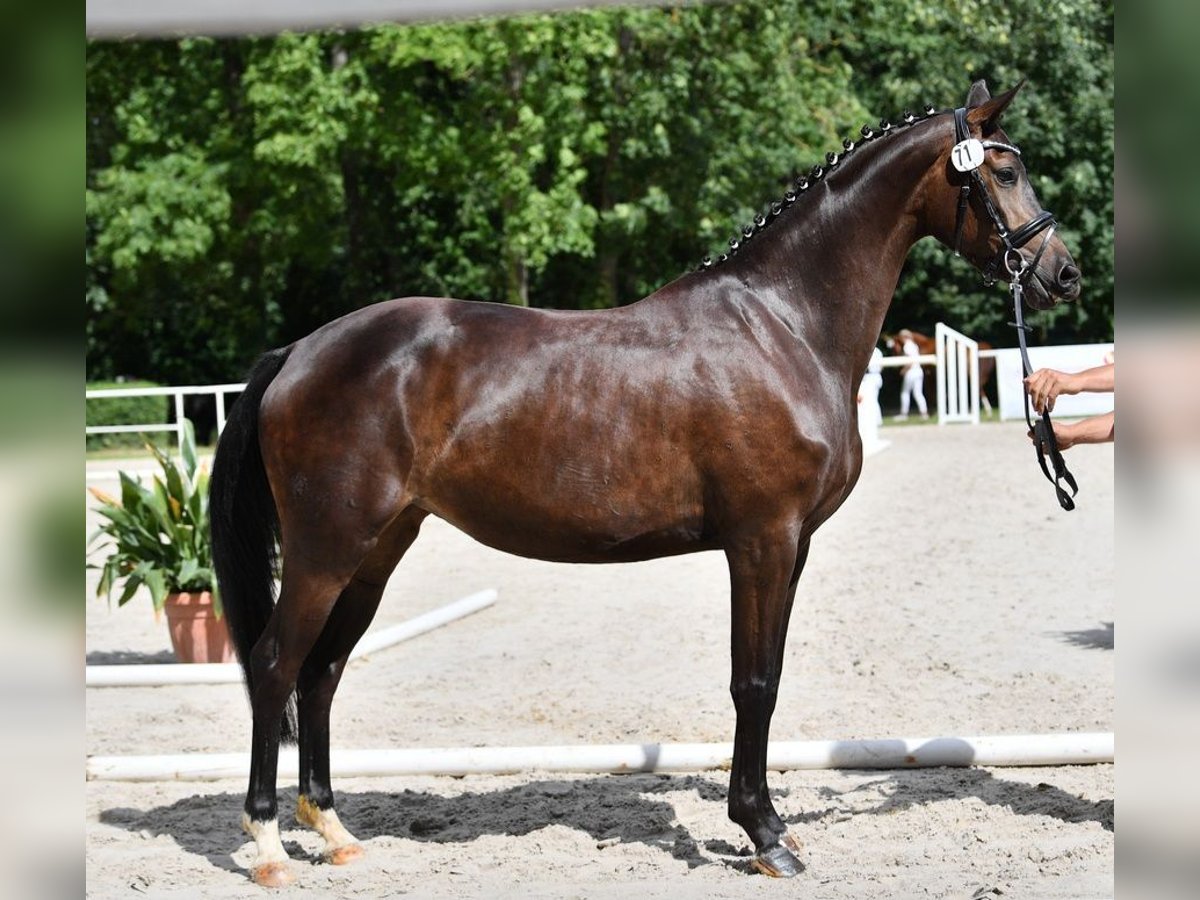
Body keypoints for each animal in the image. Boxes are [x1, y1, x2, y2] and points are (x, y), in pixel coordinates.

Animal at [209, 80, 1081, 886]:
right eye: (1003, 171)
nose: (1062, 274)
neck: (784, 325)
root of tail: (298, 352)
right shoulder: (760, 541)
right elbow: (753, 682)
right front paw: (763, 835)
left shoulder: (791, 547)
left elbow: (768, 678)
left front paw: (769, 825)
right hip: (326, 549)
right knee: (275, 665)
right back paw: (268, 845)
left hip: (375, 550)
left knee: (321, 673)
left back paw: (334, 832)